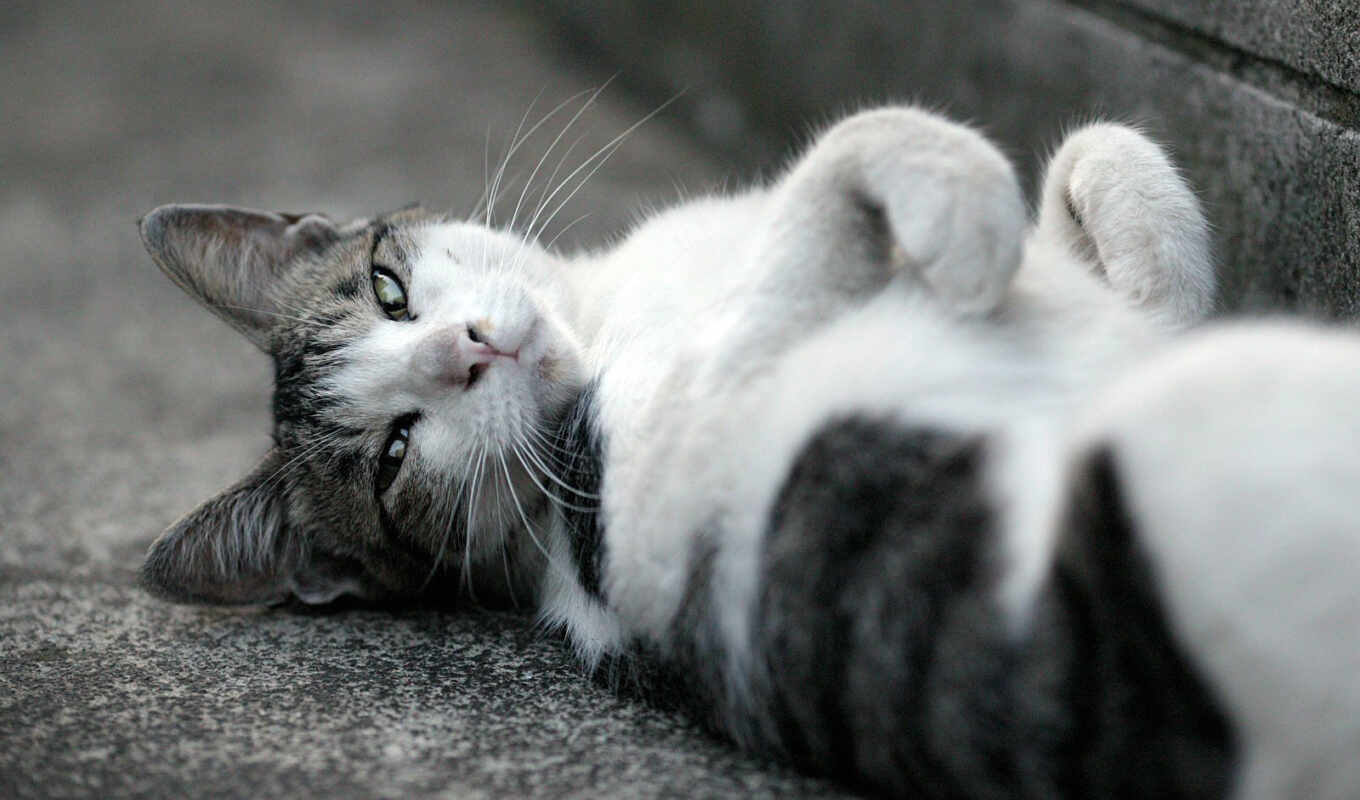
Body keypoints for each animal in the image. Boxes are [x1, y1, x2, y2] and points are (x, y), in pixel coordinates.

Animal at [129, 104, 1360, 794]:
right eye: (393, 457)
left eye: (389, 290)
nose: (465, 349)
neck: (613, 315)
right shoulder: (683, 470)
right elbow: (838, 153)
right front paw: (964, 215)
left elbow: (1107, 159)